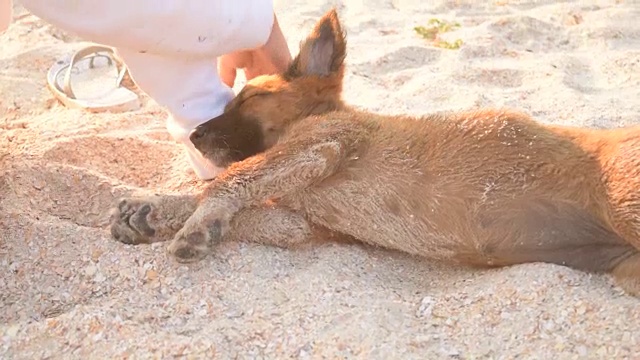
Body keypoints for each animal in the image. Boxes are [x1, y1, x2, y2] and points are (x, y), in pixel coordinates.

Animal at [109, 9, 640, 298]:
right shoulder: (299, 220)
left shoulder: (320, 145)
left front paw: (193, 226)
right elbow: (231, 200)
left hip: (625, 201)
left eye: (251, 98)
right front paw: (151, 212)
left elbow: (227, 182)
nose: (195, 135)